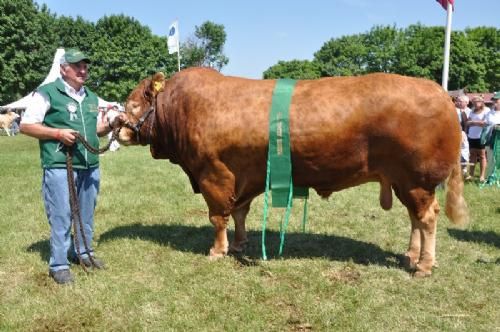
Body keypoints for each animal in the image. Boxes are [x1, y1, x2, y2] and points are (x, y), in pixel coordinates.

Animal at [118, 67, 468, 274]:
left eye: (133, 105)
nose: (119, 129)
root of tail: (441, 93)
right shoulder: (245, 176)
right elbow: (239, 212)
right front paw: (241, 243)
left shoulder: (213, 174)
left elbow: (218, 216)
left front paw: (217, 250)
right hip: (404, 181)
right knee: (415, 218)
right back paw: (411, 254)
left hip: (417, 180)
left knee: (427, 218)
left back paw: (424, 264)